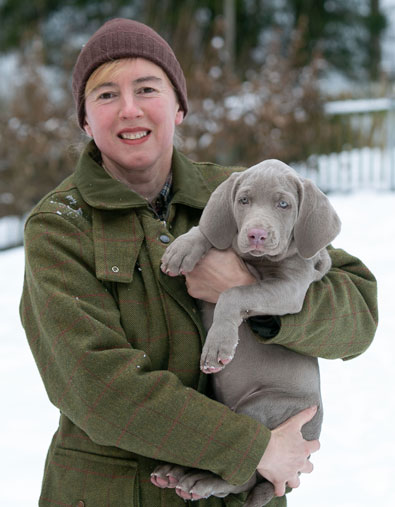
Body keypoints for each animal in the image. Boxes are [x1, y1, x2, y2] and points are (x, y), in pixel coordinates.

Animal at [153, 160, 342, 507]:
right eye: (243, 201)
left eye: (284, 204)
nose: (256, 234)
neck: (257, 260)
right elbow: (209, 232)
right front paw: (182, 248)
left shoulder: (291, 288)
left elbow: (235, 292)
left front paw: (218, 347)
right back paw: (176, 472)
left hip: (261, 407)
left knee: (243, 474)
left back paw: (198, 482)